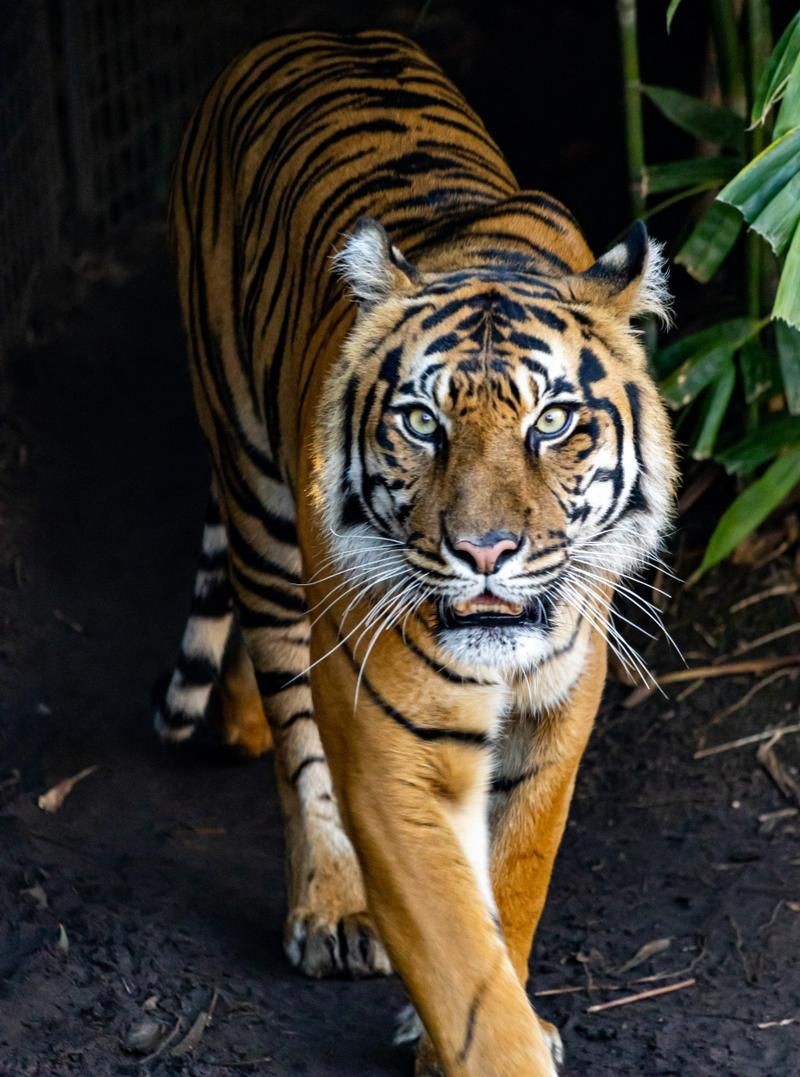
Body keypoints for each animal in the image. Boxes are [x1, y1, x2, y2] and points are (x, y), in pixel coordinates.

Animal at [154, 29, 676, 1076]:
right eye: (421, 423)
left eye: (553, 421)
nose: (485, 551)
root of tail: (298, 35)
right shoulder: (390, 742)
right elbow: (456, 955)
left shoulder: (560, 710)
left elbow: (514, 880)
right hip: (262, 506)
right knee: (295, 727)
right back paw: (326, 902)